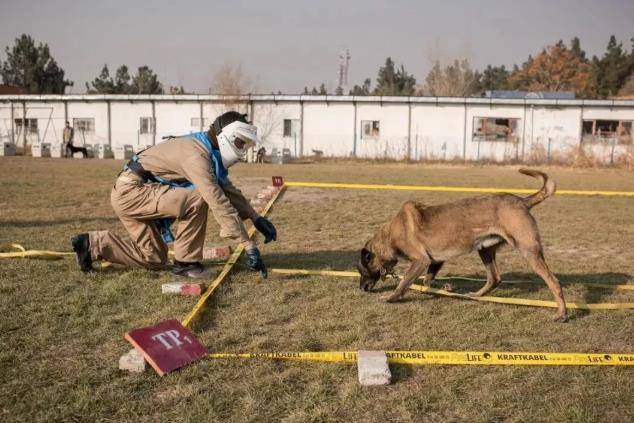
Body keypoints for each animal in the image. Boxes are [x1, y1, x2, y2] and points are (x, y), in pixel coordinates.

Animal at [356, 167, 568, 322]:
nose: (361, 289)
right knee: (495, 278)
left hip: (528, 251)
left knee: (554, 282)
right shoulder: (435, 260)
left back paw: (562, 314)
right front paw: (446, 288)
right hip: (485, 250)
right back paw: (476, 294)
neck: (390, 236)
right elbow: (427, 281)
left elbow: (403, 283)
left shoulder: (421, 261)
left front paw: (390, 298)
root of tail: (523, 201)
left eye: (362, 270)